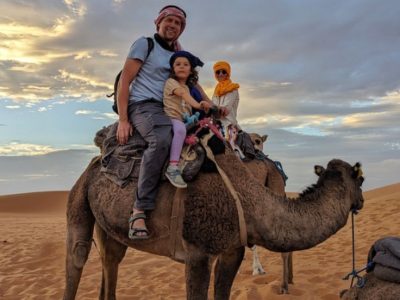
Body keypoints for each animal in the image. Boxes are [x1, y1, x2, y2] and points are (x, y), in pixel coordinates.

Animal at [63, 135, 366, 298]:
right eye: (361, 178)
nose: (362, 201)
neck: (248, 199)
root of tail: (95, 163)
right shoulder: (197, 253)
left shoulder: (232, 250)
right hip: (78, 197)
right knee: (77, 256)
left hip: (110, 226)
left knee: (110, 259)